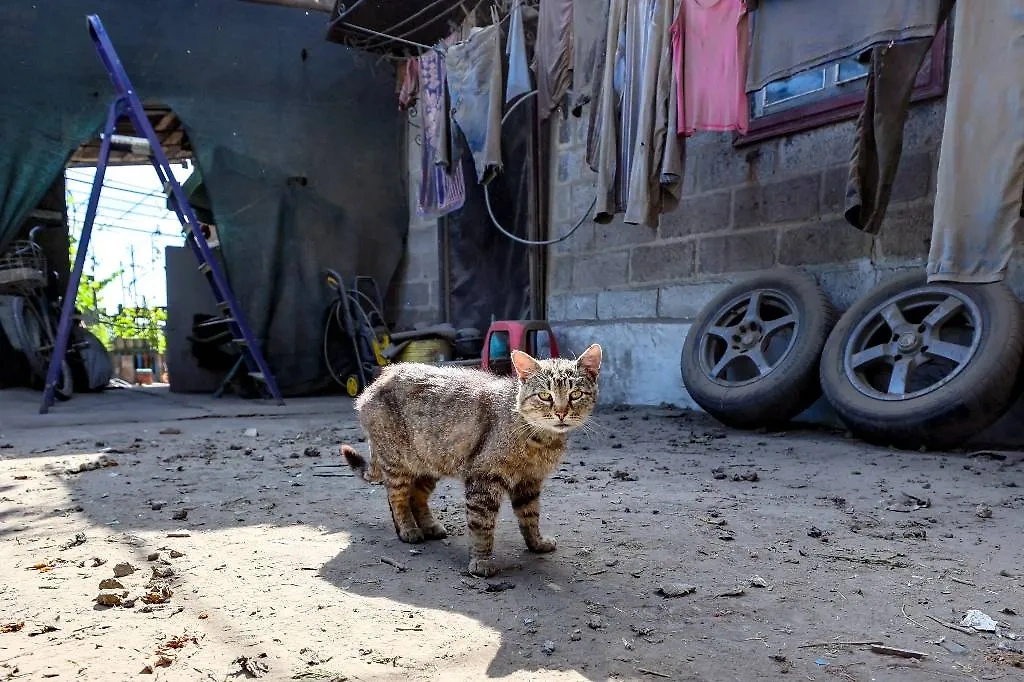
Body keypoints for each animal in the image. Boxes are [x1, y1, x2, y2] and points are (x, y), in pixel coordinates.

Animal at [339, 339, 602, 573]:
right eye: (545, 396)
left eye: (576, 394)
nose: (561, 413)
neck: (540, 439)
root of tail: (374, 384)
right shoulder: (484, 478)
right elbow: (481, 525)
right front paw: (481, 561)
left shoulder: (529, 482)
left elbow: (530, 516)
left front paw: (536, 543)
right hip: (398, 461)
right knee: (397, 498)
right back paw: (408, 530)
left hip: (431, 461)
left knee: (417, 496)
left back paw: (429, 526)